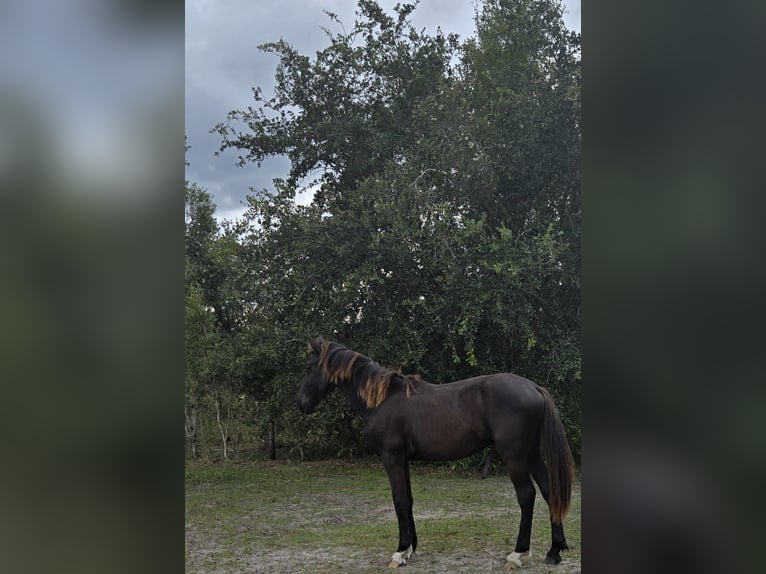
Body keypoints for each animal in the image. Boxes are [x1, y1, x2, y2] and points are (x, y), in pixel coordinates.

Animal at [296, 337, 575, 569]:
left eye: (309, 368)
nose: (301, 404)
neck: (383, 400)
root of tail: (534, 387)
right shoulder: (403, 460)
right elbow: (408, 500)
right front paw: (410, 548)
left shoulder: (391, 458)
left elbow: (399, 500)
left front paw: (399, 553)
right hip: (532, 454)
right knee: (549, 491)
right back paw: (554, 552)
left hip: (515, 457)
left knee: (527, 496)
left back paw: (517, 555)